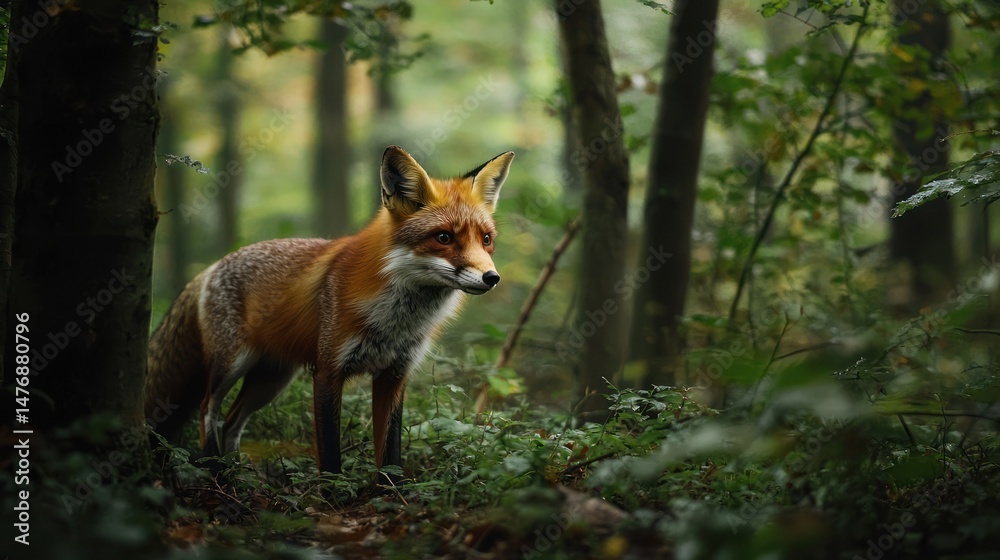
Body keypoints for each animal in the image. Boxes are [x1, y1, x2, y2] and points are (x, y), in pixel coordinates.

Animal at [145, 146, 513, 476]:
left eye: (486, 239)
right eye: (444, 238)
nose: (491, 278)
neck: (396, 320)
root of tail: (210, 268)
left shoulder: (394, 374)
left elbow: (390, 453)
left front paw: (389, 494)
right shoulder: (327, 371)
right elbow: (331, 454)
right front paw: (332, 494)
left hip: (272, 379)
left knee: (232, 421)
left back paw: (236, 471)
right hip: (230, 364)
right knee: (208, 410)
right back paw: (213, 468)